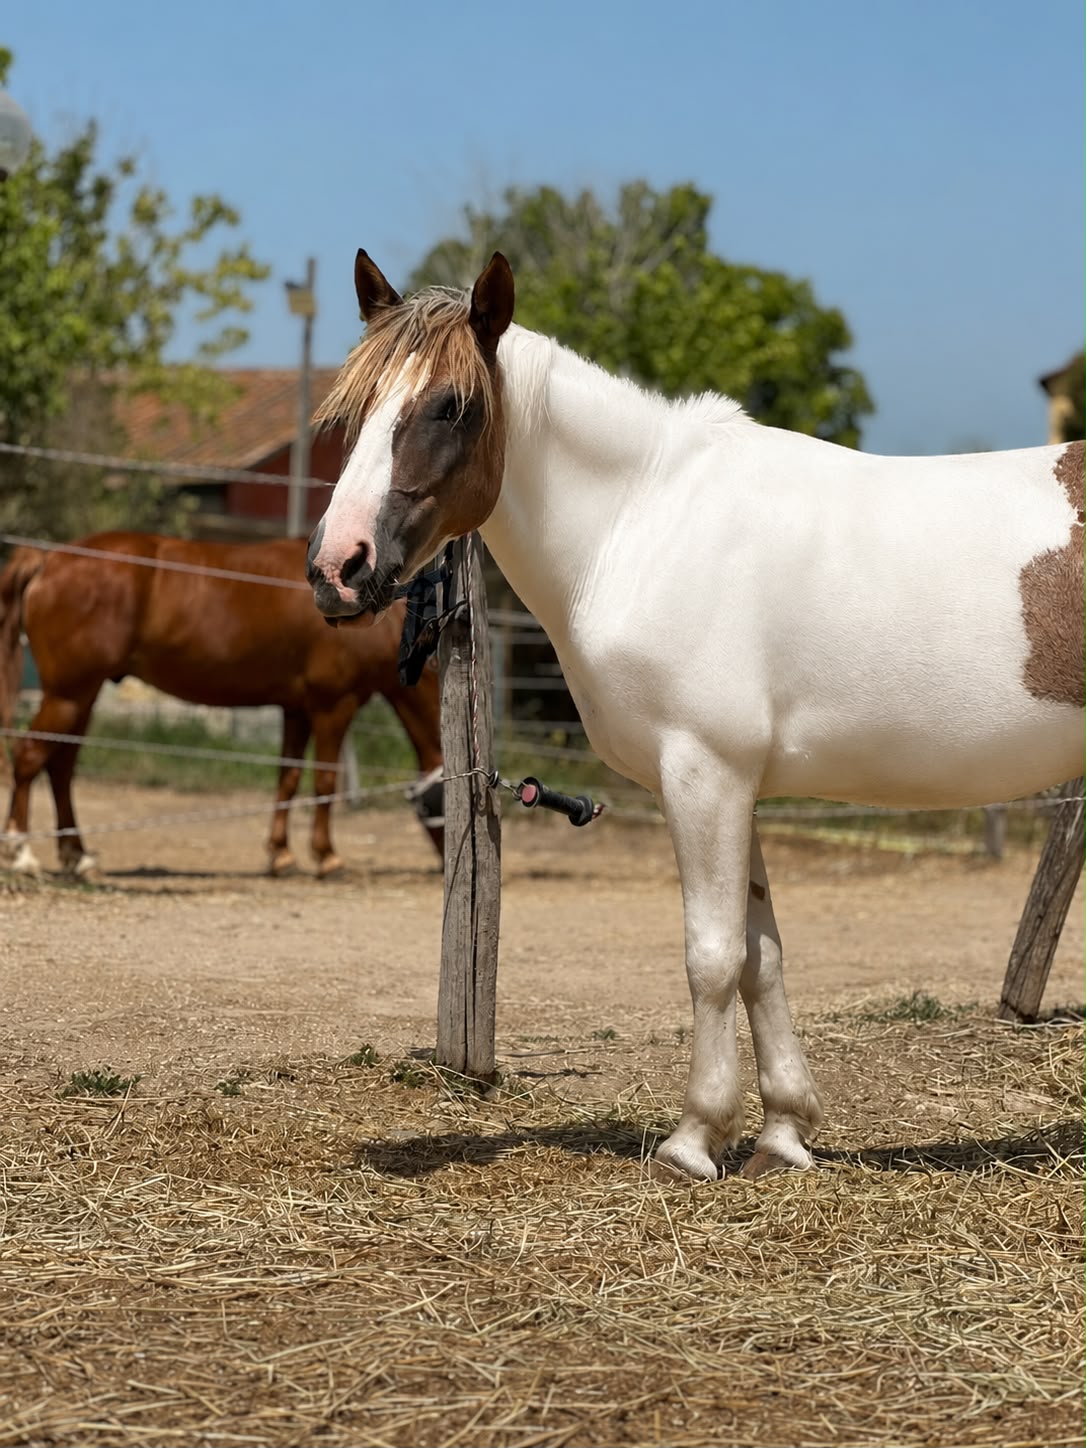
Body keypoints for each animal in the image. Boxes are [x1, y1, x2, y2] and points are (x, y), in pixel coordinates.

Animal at [0, 532, 445, 879]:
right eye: (438, 802)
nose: (441, 866)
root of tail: (48, 558)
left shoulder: (296, 709)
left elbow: (287, 777)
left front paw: (281, 855)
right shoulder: (333, 705)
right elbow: (323, 780)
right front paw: (327, 857)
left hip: (82, 695)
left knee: (60, 767)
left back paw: (78, 857)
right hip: (68, 695)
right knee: (29, 756)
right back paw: (21, 852)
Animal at [305, 249, 1086, 1183]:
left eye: (451, 406)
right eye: (356, 409)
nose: (338, 567)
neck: (643, 523)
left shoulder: (703, 774)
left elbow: (712, 957)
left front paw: (693, 1139)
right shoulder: (736, 783)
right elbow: (762, 957)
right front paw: (783, 1134)